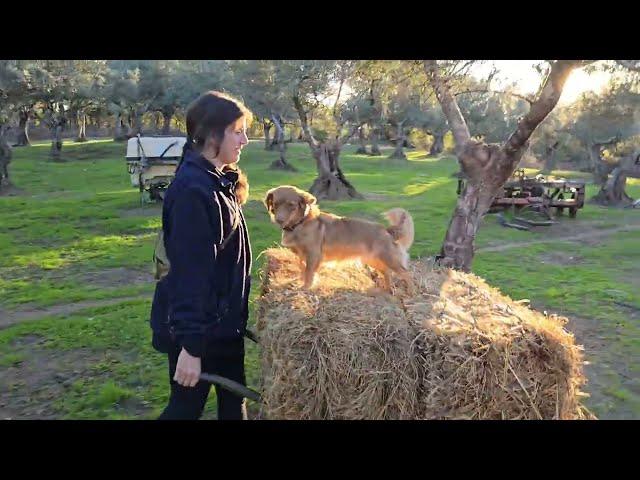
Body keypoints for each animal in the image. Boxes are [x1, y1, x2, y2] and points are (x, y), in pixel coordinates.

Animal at [264, 185, 416, 290]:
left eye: (291, 205)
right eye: (275, 204)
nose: (279, 220)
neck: (300, 224)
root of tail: (386, 230)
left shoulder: (314, 255)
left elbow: (309, 273)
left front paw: (306, 287)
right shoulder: (301, 256)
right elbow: (302, 270)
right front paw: (300, 283)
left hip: (389, 259)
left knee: (407, 274)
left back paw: (411, 293)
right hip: (374, 260)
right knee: (387, 273)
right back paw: (387, 290)